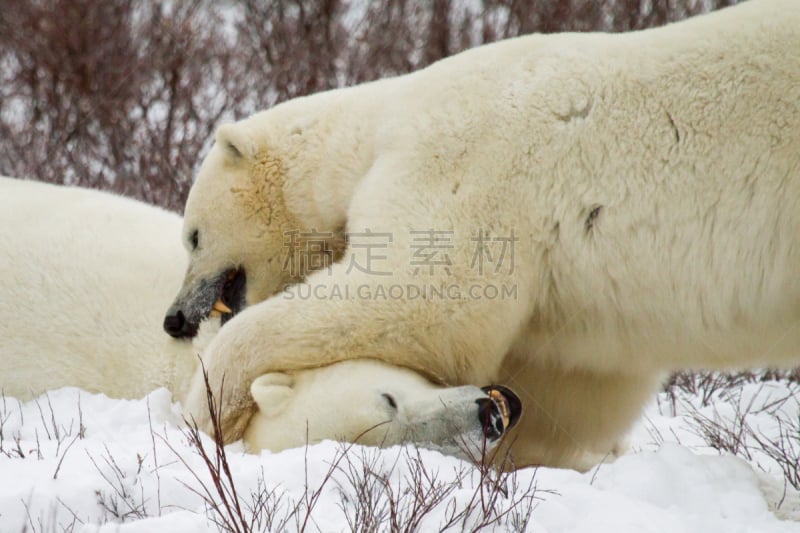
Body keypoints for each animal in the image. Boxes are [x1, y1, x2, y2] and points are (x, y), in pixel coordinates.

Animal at [164, 0, 800, 468]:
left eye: (192, 235)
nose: (174, 318)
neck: (379, 127)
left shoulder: (461, 167)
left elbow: (421, 301)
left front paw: (209, 412)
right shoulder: (582, 314)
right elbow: (576, 389)